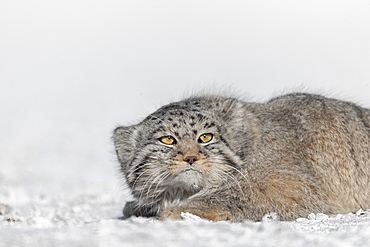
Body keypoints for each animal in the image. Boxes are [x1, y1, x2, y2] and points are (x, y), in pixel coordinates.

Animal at [112, 93, 370, 222]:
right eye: (167, 140)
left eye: (206, 137)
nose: (191, 158)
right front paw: (140, 207)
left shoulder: (289, 187)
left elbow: (236, 195)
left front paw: (183, 209)